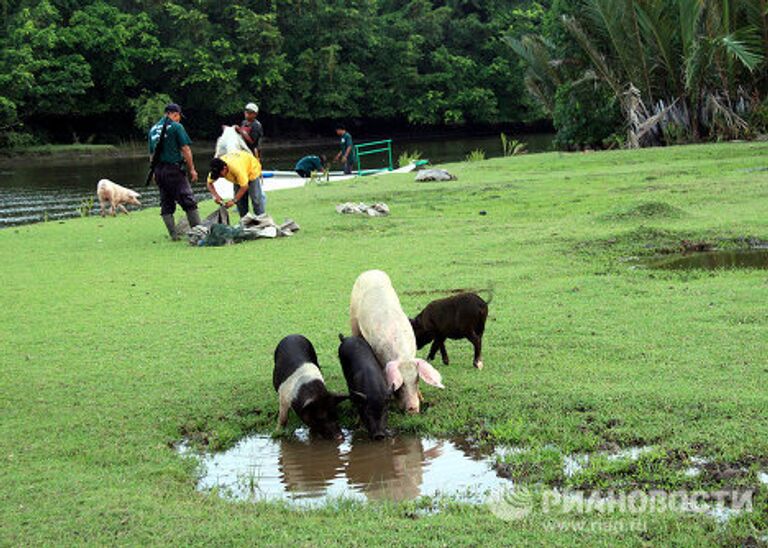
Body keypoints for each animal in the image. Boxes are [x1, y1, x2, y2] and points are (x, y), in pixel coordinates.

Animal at [350, 268, 444, 414]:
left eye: (417, 380)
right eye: (401, 384)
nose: (413, 409)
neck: (403, 355)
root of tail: (370, 271)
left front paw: (422, 398)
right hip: (353, 317)